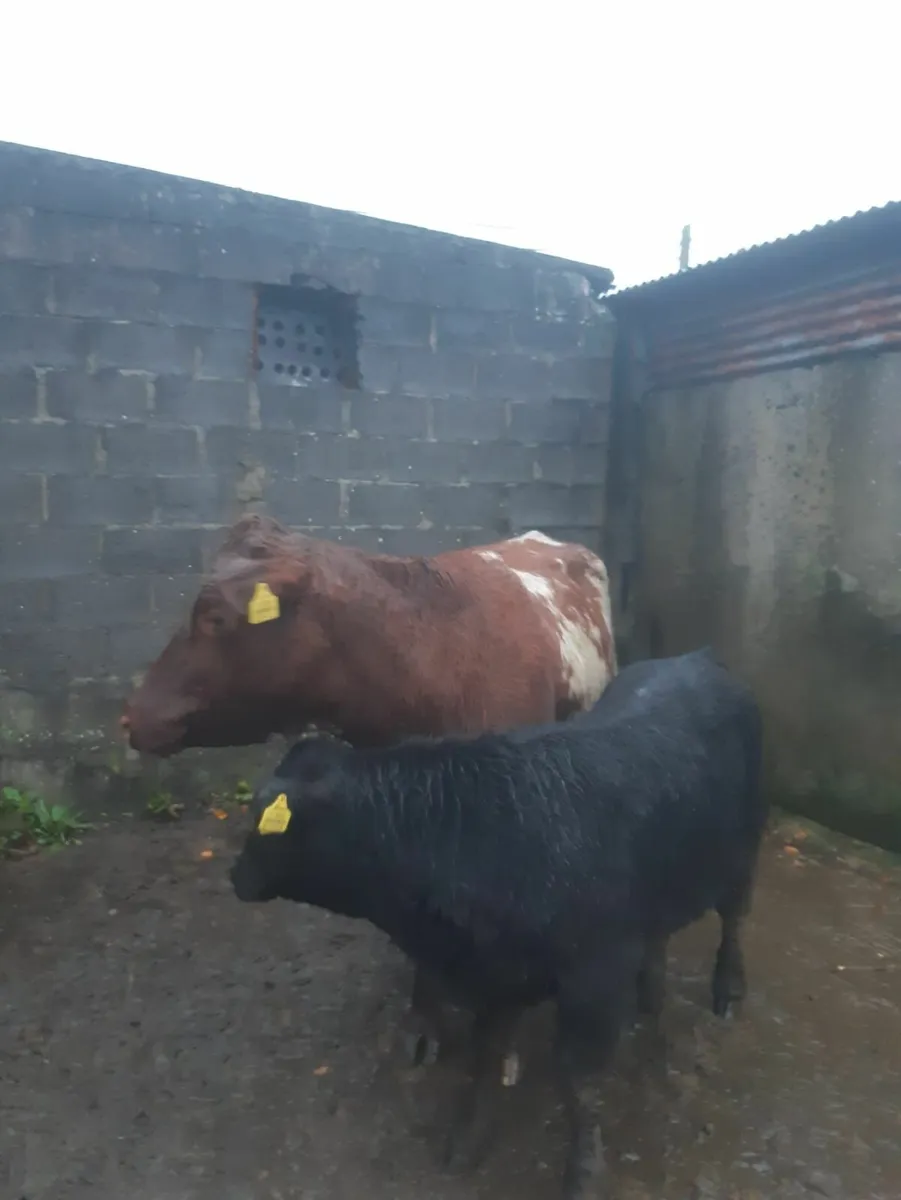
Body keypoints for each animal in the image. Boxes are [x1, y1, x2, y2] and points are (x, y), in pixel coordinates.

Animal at [229, 648, 766, 1200]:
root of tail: (694, 658)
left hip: (742, 854)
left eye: (263, 824)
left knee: (733, 919)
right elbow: (484, 1057)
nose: (235, 876)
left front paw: (584, 1170)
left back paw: (727, 987)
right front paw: (467, 1135)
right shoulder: (494, 976)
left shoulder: (592, 981)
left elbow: (580, 1082)